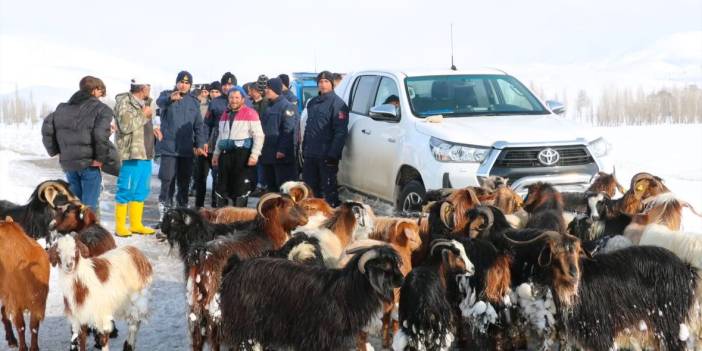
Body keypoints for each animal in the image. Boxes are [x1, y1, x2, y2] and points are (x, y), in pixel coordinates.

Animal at [0, 217, 49, 351]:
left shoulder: (38, 303)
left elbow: (34, 327)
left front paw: (34, 348)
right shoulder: (15, 302)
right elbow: (21, 326)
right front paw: (23, 347)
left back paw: (11, 339)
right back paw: (12, 340)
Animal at [223, 246, 404, 350]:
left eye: (395, 264)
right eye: (386, 266)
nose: (402, 279)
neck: (348, 290)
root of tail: (236, 266)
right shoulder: (320, 334)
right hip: (245, 320)